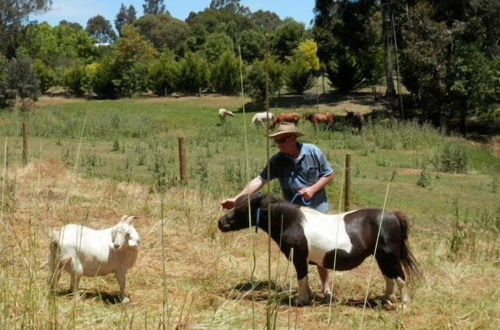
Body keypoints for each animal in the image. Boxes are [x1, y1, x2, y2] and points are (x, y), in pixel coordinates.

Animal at [219, 193, 422, 306]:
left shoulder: (299, 259)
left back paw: (403, 304)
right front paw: (308, 297)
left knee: (400, 278)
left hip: (389, 257)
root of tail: (393, 215)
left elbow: (301, 278)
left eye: (243, 208)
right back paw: (386, 299)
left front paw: (301, 300)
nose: (221, 223)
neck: (293, 222)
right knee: (389, 278)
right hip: (381, 258)